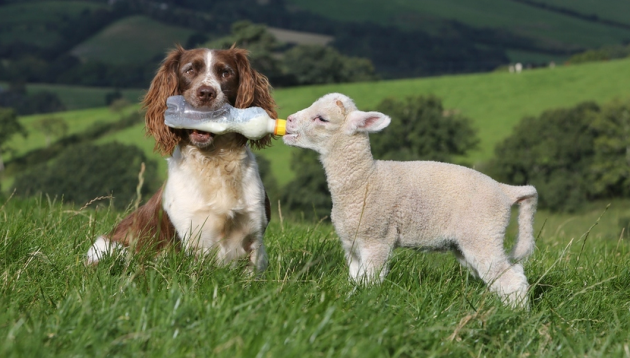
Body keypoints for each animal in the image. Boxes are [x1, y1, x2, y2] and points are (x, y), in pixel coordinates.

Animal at [86, 45, 276, 272]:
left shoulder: (254, 233)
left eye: (226, 72)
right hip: (110, 248)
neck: (213, 161)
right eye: (189, 70)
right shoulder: (189, 237)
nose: (206, 93)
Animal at [284, 92, 540, 308]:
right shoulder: (351, 244)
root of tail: (505, 190)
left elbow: (370, 281)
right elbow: (356, 279)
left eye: (321, 118)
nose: (288, 120)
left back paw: (516, 315)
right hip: (468, 242)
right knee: (512, 274)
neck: (365, 180)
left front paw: (366, 303)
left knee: (510, 279)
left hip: (482, 233)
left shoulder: (377, 238)